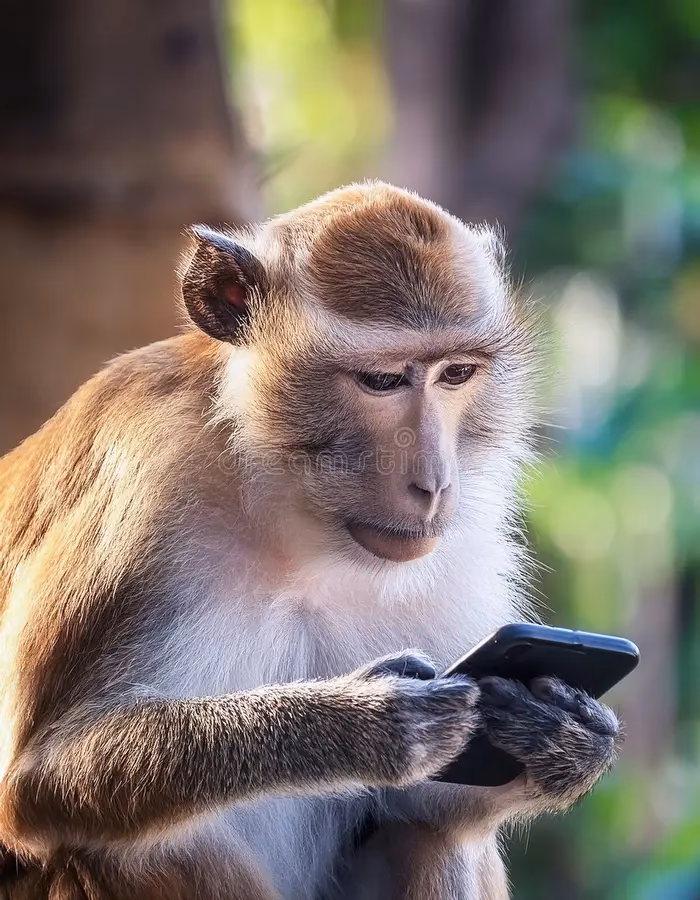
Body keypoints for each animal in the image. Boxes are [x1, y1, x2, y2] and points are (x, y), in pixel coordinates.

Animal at [0, 181, 620, 900]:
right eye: (382, 381)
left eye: (456, 374)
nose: (436, 483)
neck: (289, 522)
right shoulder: (141, 497)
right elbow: (34, 784)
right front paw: (358, 724)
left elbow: (436, 801)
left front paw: (564, 736)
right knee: (134, 850)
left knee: (429, 834)